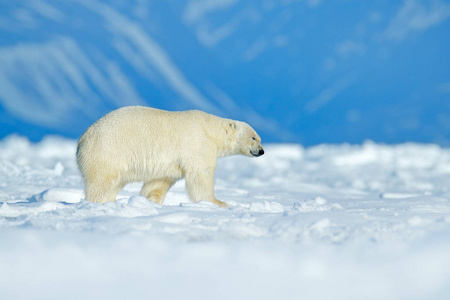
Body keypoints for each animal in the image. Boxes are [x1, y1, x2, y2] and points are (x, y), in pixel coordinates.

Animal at [75, 106, 262, 207]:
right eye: (253, 137)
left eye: (259, 138)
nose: (262, 151)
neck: (210, 130)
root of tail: (83, 138)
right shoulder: (198, 145)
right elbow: (202, 175)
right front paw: (218, 202)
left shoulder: (170, 164)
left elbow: (159, 183)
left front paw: (150, 201)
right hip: (107, 152)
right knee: (101, 183)